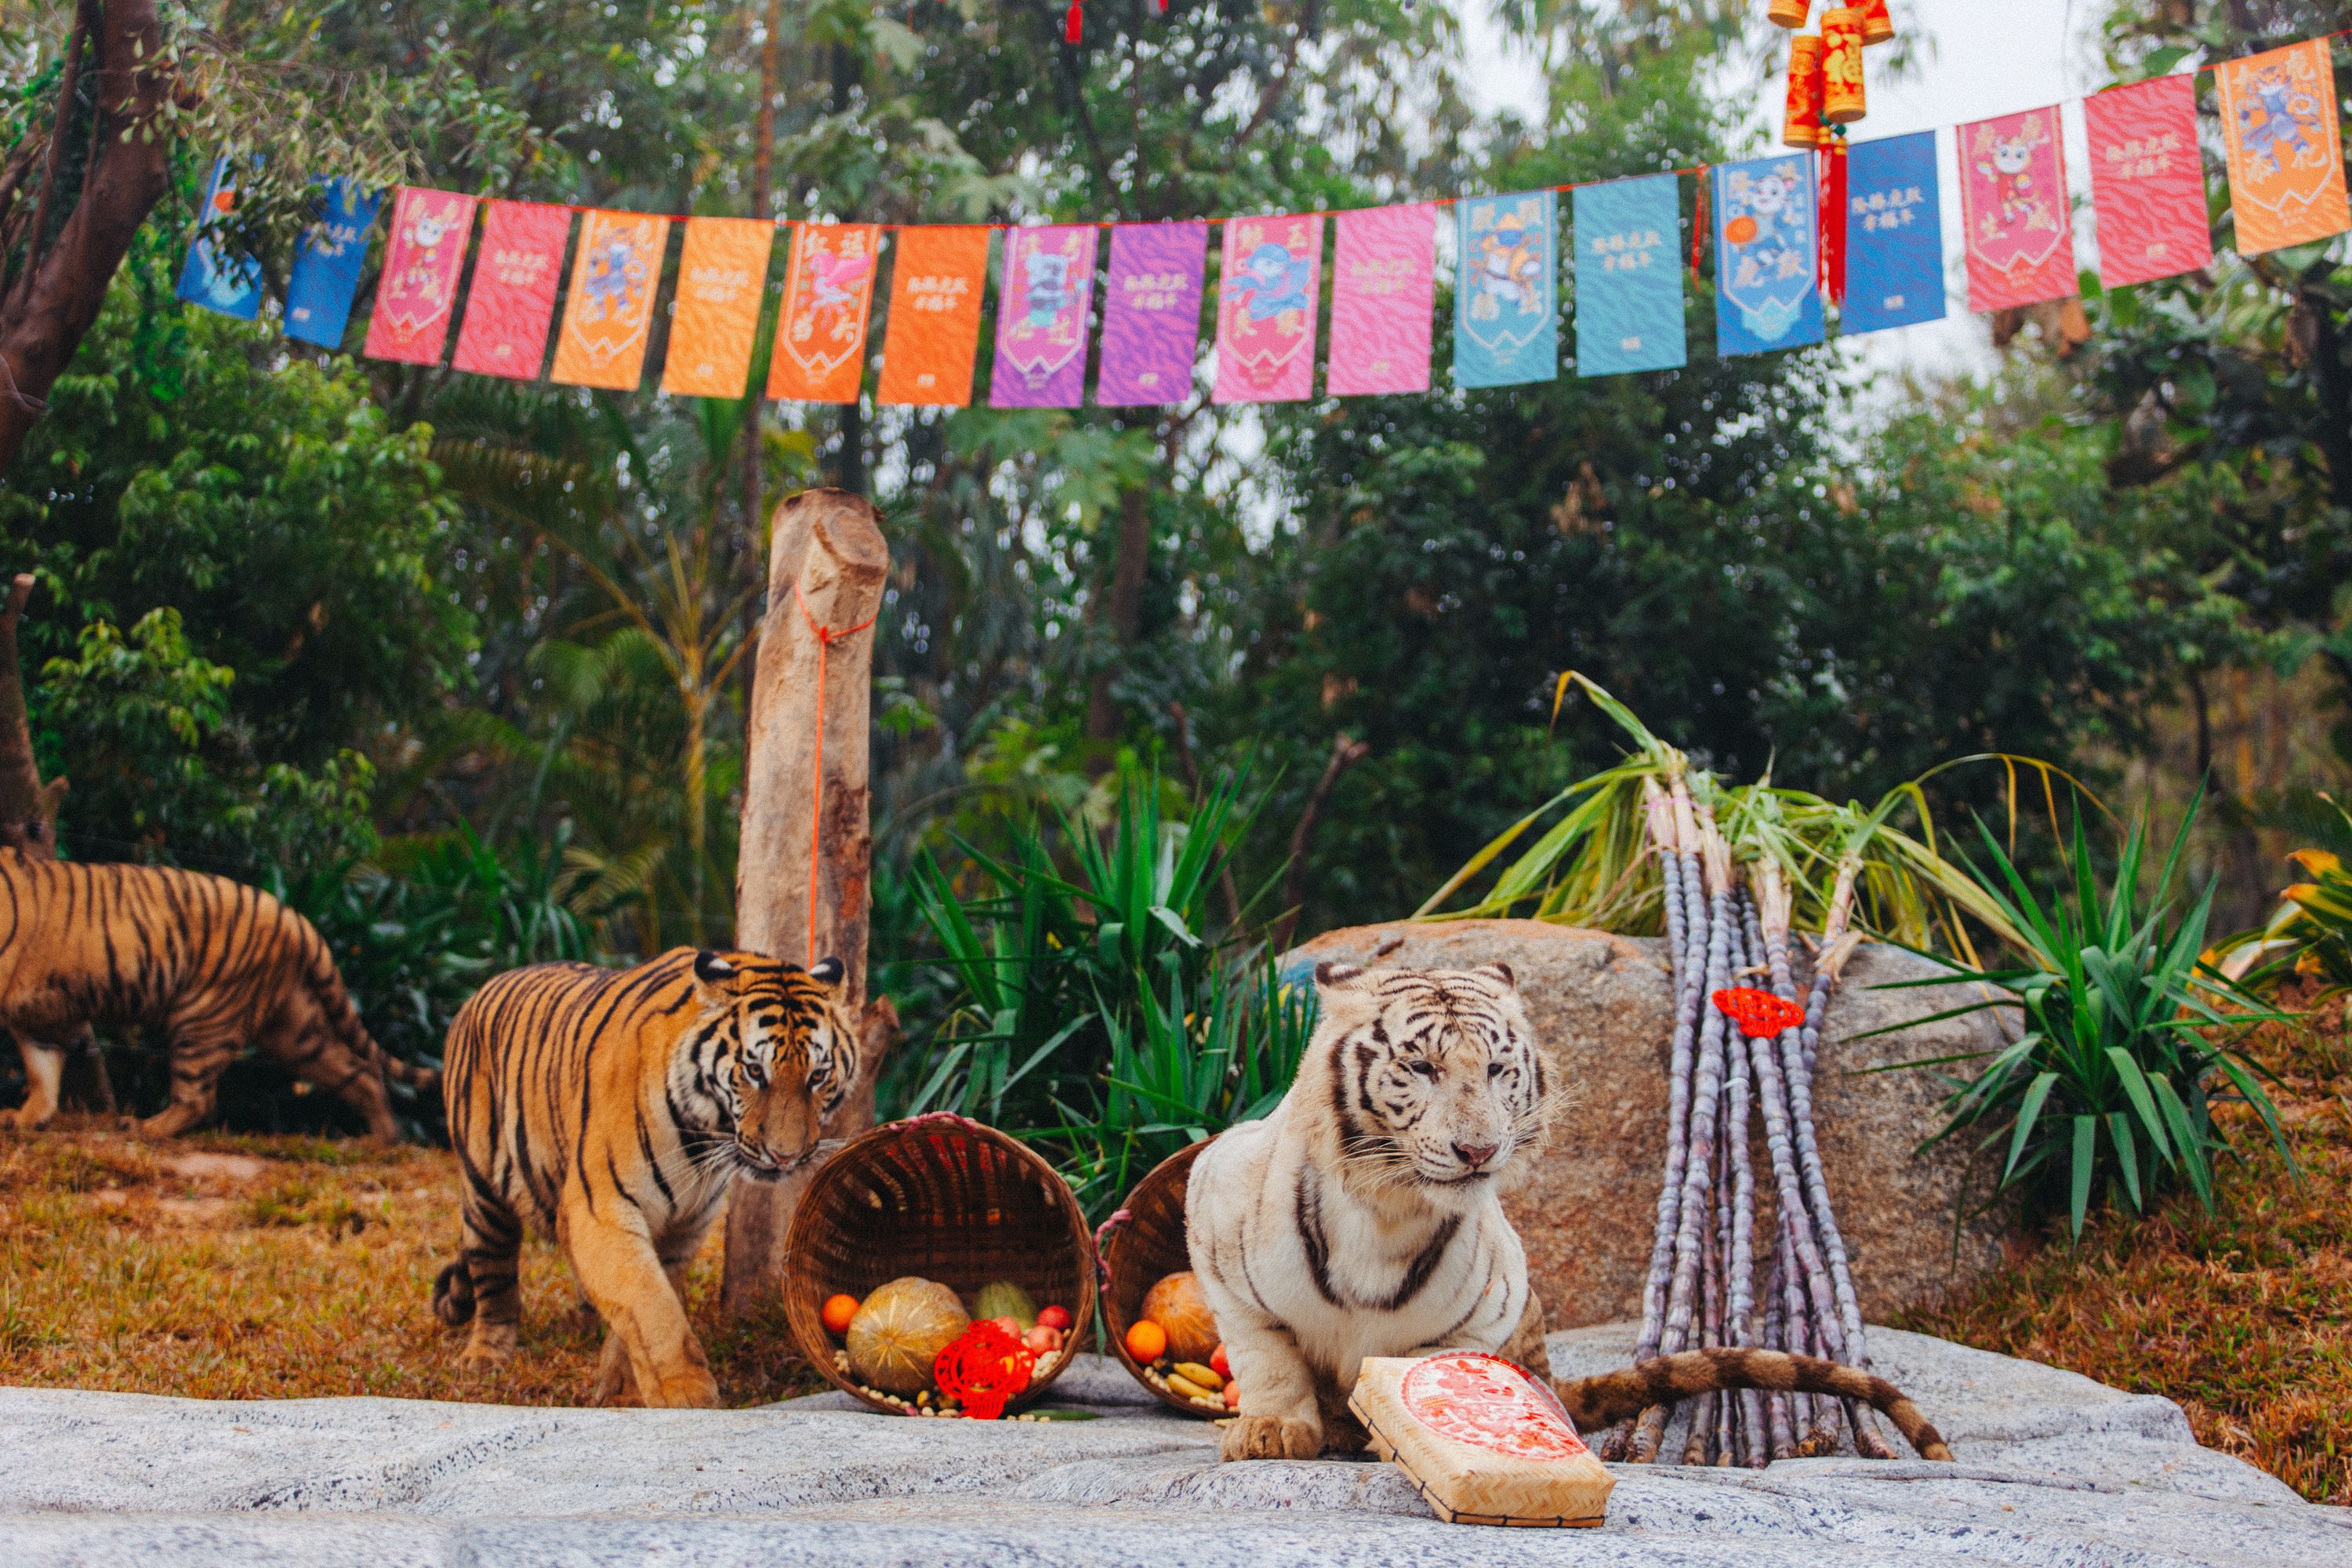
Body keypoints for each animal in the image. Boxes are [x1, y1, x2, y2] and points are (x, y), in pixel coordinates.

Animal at [0, 851, 437, 1133]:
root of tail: (292, 914)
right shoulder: (37, 1018)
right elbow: (42, 1071)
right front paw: (27, 1118)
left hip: (203, 1018)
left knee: (198, 1099)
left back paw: (144, 1128)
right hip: (295, 1033)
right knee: (359, 1072)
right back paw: (381, 1140)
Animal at [433, 945, 866, 1410]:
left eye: (818, 1076)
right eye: (754, 1072)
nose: (785, 1156)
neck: (705, 1136)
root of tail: (481, 990)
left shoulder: (684, 1226)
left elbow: (642, 1305)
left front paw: (622, 1391)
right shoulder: (601, 1208)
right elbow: (651, 1304)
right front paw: (687, 1395)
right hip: (484, 1193)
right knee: (492, 1274)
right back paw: (486, 1356)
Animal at [1185, 964, 1957, 1467]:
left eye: (1497, 1070)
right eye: (1423, 1068)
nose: (1478, 1148)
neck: (1388, 1209)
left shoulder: (1483, 1310)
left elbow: (1431, 1371)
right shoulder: (1215, 1224)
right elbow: (1268, 1359)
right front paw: (1271, 1431)